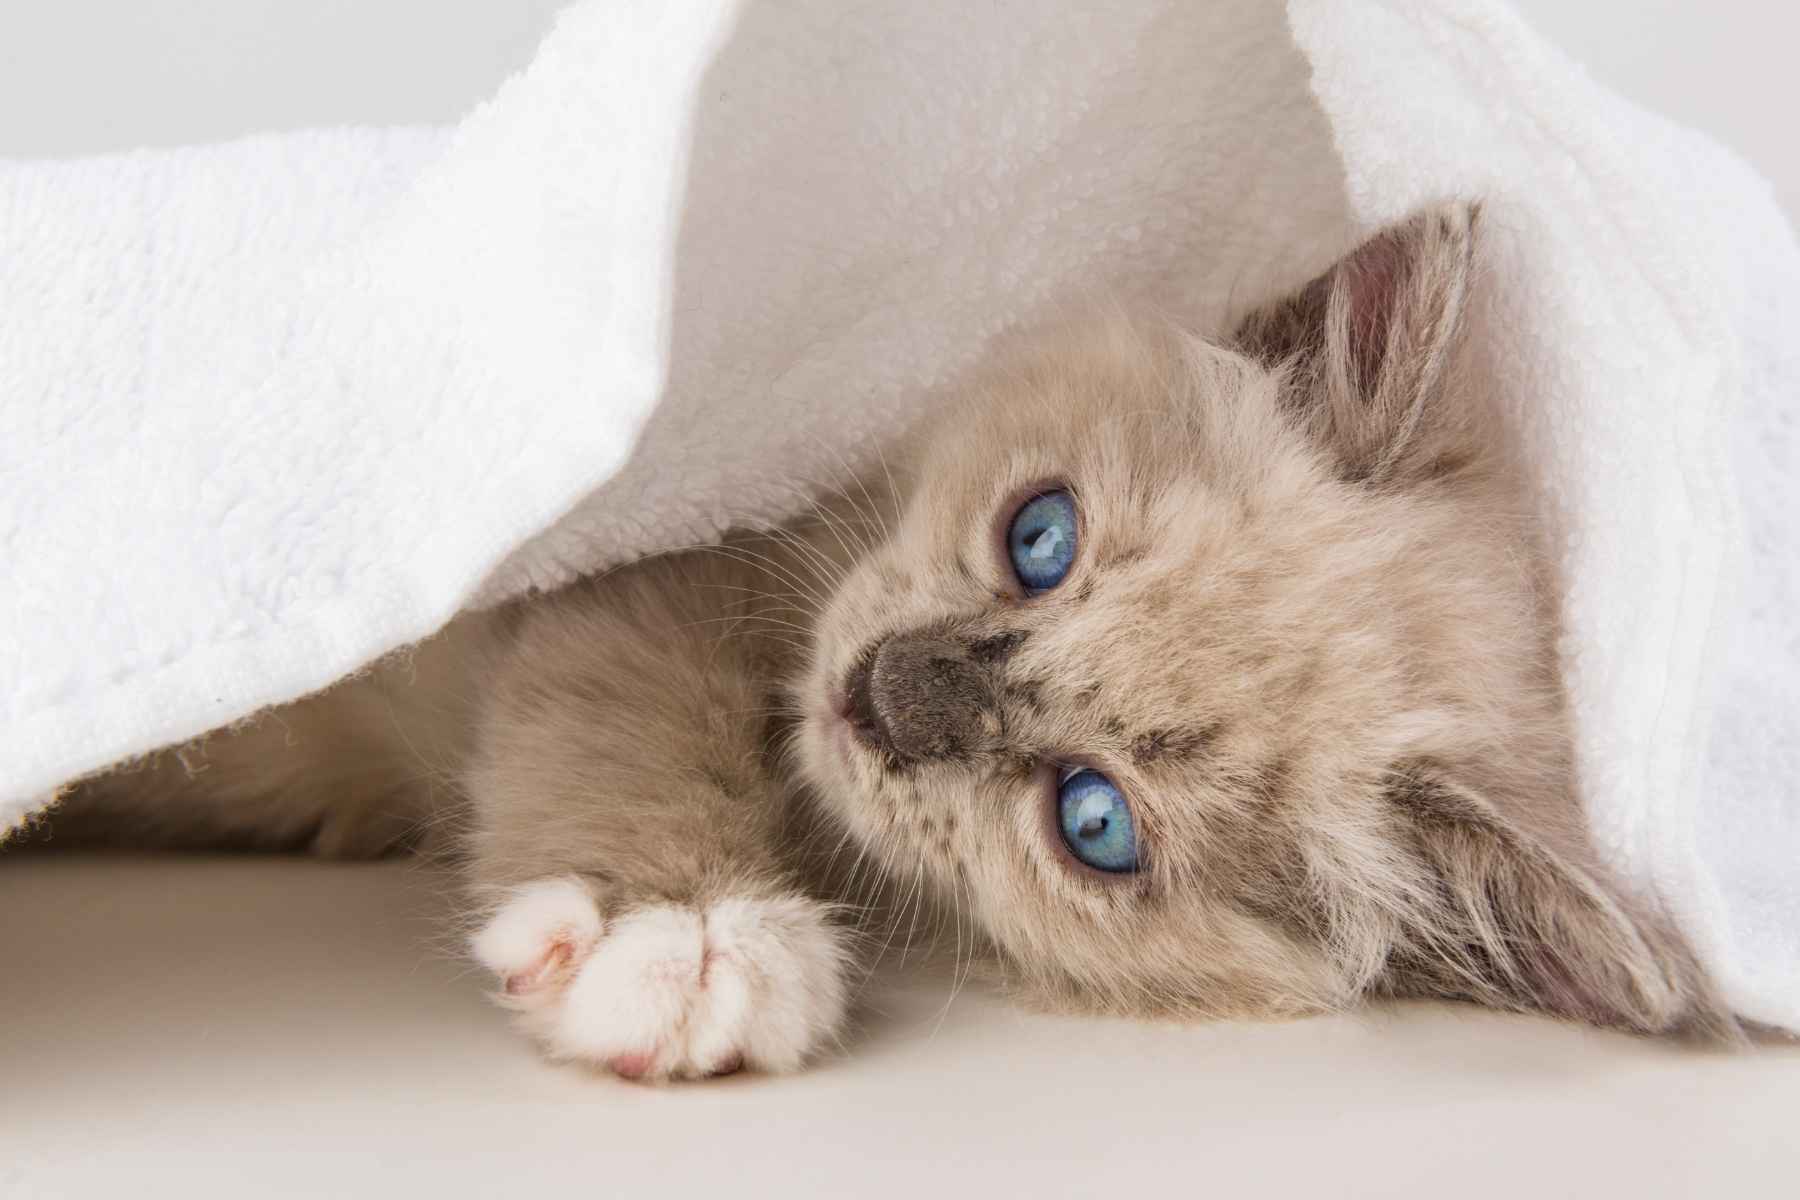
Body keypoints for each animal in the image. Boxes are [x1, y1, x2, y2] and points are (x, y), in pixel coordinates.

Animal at [38, 204, 1728, 1079]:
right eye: (1039, 538)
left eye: (1095, 822)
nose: (882, 695)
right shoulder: (656, 576)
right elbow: (625, 714)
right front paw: (682, 927)